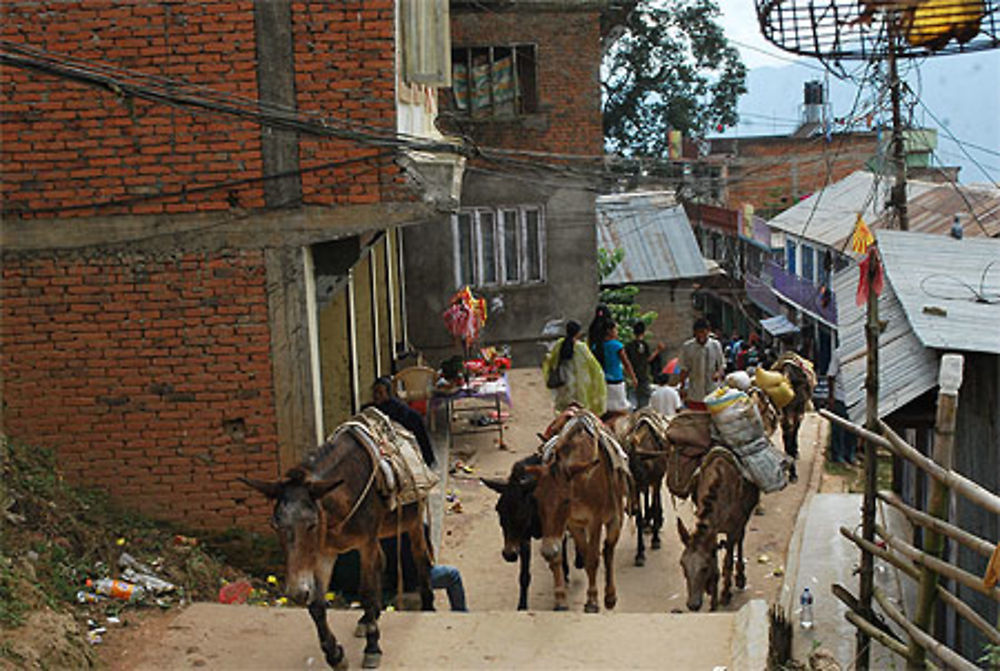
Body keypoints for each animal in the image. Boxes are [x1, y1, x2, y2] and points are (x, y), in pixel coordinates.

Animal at [241, 422, 434, 668]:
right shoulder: (325, 552)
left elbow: (366, 593)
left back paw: (427, 607)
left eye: (312, 524)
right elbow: (316, 605)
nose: (295, 592)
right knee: (381, 563)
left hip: (413, 521)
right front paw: (335, 655)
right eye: (274, 525)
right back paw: (368, 619)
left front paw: (372, 648)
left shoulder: (365, 543)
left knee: (420, 556)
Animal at [524, 410, 624, 616]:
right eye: (536, 499)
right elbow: (581, 556)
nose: (547, 550)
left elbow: (593, 558)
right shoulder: (571, 523)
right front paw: (561, 600)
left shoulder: (595, 521)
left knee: (608, 549)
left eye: (566, 500)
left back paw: (610, 597)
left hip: (615, 518)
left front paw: (592, 601)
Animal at [680, 448, 756, 612]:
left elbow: (727, 562)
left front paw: (725, 594)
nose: (693, 605)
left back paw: (740, 577)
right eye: (682, 565)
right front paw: (713, 601)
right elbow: (715, 566)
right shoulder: (712, 531)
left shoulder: (732, 529)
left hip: (744, 517)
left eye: (704, 568)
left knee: (740, 540)